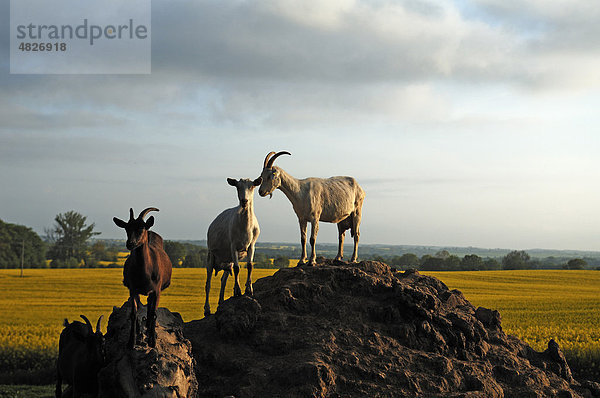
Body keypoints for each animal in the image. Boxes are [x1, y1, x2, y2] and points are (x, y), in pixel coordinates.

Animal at [113, 208, 172, 348]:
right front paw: (131, 342)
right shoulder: (133, 289)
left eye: (141, 228)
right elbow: (134, 313)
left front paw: (152, 341)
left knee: (150, 309)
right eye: (127, 228)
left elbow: (153, 313)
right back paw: (141, 330)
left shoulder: (157, 290)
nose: (130, 244)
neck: (144, 273)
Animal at [205, 177, 262, 318]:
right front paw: (238, 291)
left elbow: (250, 265)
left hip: (227, 260)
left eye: (252, 186)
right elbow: (237, 268)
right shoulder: (233, 245)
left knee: (223, 279)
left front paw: (249, 290)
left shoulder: (252, 245)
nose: (244, 201)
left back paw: (221, 302)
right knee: (208, 283)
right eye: (237, 186)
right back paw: (207, 310)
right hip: (211, 254)